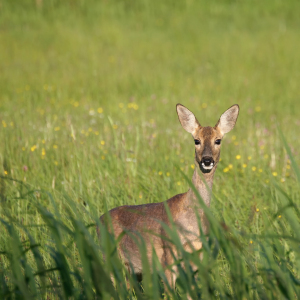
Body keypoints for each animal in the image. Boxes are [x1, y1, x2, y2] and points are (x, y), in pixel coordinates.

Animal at [99, 103, 238, 288]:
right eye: (196, 140)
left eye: (218, 140)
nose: (207, 160)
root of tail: (98, 221)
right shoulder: (167, 257)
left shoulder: (196, 257)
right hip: (109, 257)